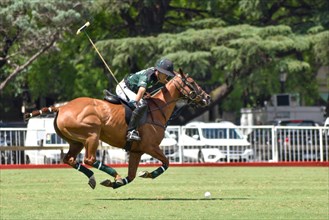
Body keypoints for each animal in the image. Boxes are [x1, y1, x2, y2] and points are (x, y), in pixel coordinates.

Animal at [25, 69, 210, 189]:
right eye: (192, 82)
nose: (207, 97)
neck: (158, 109)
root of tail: (61, 107)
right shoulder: (150, 146)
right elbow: (166, 162)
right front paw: (145, 174)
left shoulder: (137, 151)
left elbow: (132, 175)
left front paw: (121, 182)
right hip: (92, 134)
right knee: (90, 159)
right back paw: (114, 175)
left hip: (75, 141)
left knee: (69, 159)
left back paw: (95, 178)